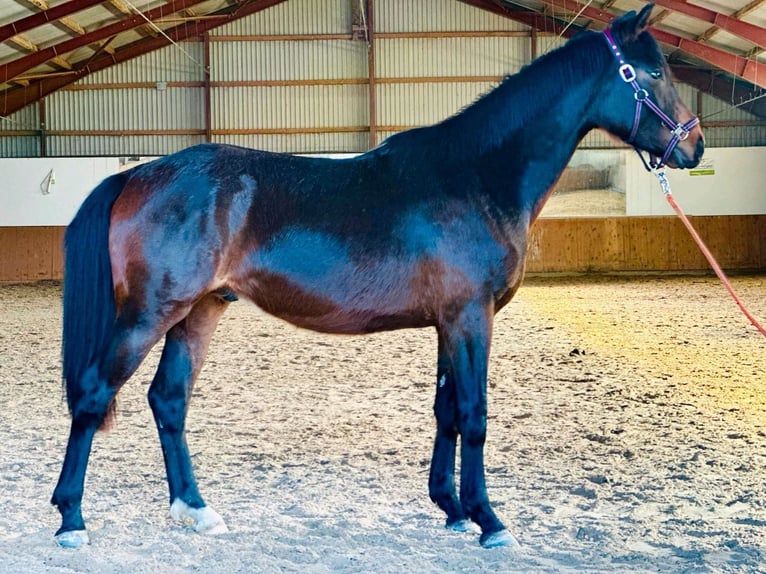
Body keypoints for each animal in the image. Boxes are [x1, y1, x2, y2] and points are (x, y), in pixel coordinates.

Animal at [52, 5, 704, 552]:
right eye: (650, 71)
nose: (694, 145)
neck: (477, 174)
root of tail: (137, 174)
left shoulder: (449, 322)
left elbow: (447, 410)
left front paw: (452, 509)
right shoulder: (470, 317)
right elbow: (474, 414)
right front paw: (489, 521)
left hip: (199, 312)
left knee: (169, 399)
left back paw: (195, 508)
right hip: (149, 313)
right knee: (94, 394)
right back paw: (71, 519)